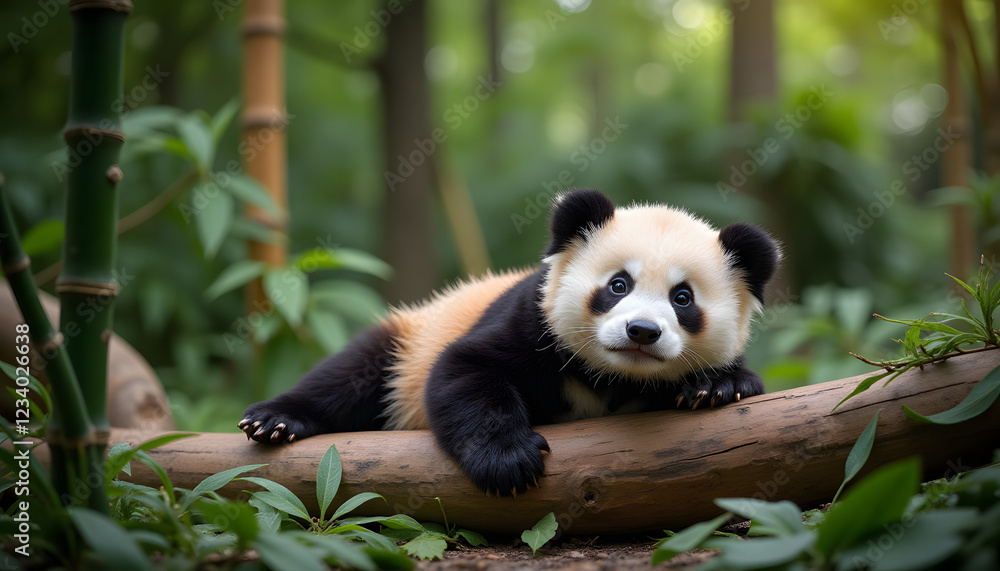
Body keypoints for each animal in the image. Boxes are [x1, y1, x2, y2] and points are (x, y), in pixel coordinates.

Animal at [239, 188, 779, 496]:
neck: (613, 375)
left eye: (682, 298)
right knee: (352, 374)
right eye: (617, 285)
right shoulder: (532, 322)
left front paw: (716, 386)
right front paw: (510, 462)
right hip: (408, 341)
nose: (642, 331)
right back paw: (275, 421)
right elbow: (465, 369)